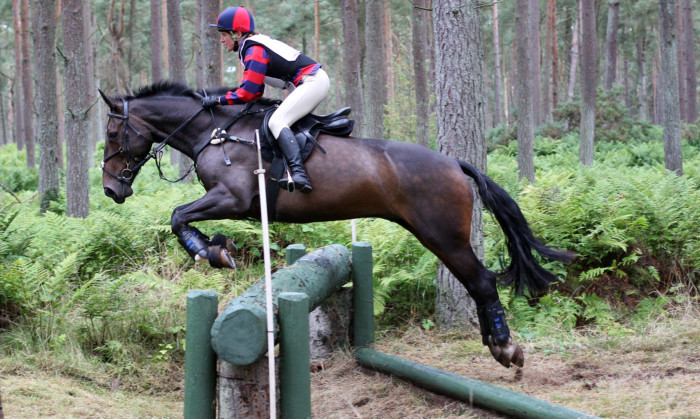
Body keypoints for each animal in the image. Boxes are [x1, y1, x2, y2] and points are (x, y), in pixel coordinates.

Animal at [98, 80, 576, 370]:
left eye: (111, 134)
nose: (110, 190)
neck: (215, 132)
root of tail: (455, 165)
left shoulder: (232, 199)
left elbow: (178, 215)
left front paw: (209, 250)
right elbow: (180, 215)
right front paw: (216, 246)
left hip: (442, 235)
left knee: (482, 281)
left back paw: (504, 347)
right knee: (478, 282)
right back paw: (496, 344)